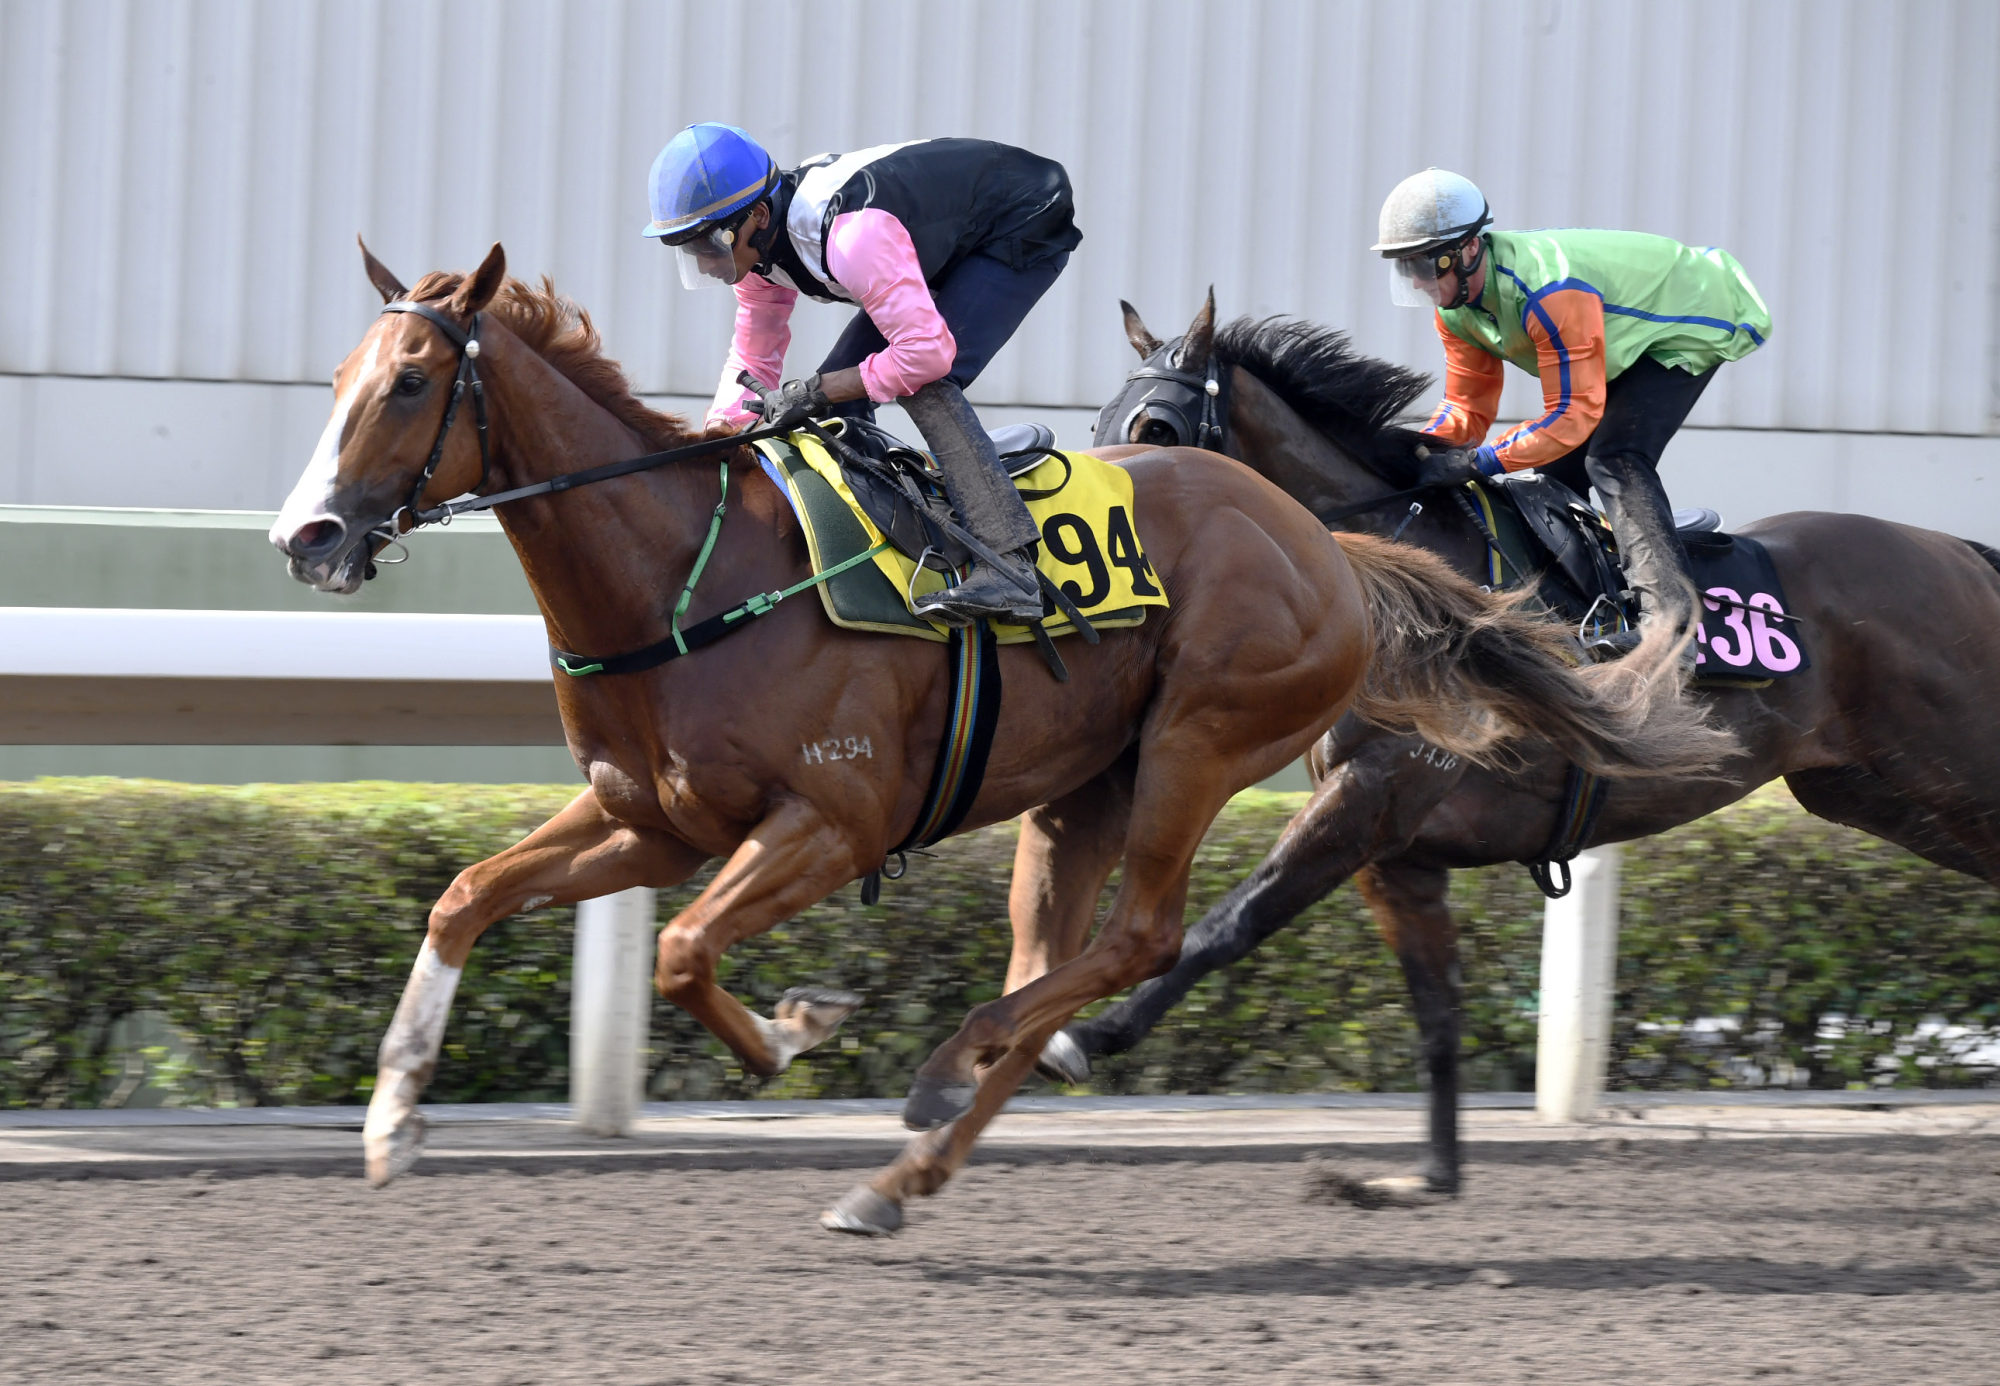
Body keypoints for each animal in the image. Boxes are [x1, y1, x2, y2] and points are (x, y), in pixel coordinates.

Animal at [274, 241, 1728, 1232]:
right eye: (338, 377)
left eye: (409, 383)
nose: (307, 534)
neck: (683, 575)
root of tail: (1328, 541)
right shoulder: (651, 820)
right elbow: (467, 895)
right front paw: (393, 1123)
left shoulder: (826, 822)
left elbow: (684, 951)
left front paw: (797, 1029)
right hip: (1083, 787)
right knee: (1061, 964)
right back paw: (902, 1171)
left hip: (1202, 740)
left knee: (1140, 940)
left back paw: (932, 1079)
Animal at [1080, 292, 2000, 1200]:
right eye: (1097, 422)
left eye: (1157, 425)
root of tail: (1961, 555)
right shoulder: (1395, 846)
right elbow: (1436, 1009)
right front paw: (1427, 1177)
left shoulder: (1368, 799)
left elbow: (1229, 924)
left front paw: (1087, 1035)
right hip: (1876, 793)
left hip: (1952, 770)